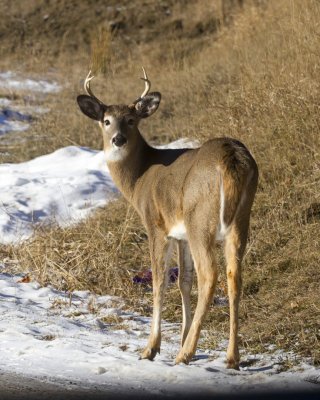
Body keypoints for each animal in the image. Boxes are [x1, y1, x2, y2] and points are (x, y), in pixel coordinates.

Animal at [77, 67, 258, 370]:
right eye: (106, 121)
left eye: (131, 120)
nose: (118, 139)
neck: (139, 177)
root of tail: (230, 158)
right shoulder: (180, 234)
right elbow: (184, 281)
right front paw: (184, 339)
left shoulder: (156, 225)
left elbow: (160, 282)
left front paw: (152, 347)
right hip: (240, 220)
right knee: (234, 275)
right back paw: (231, 357)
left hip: (200, 219)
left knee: (210, 275)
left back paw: (185, 354)